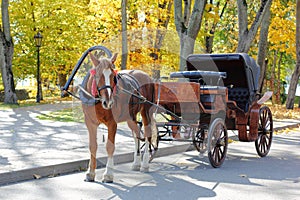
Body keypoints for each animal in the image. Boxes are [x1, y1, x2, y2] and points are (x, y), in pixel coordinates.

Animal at [82, 52, 157, 183]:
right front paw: (90, 172)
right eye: (98, 76)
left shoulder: (112, 123)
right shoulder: (90, 123)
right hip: (130, 118)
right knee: (136, 134)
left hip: (146, 112)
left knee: (147, 135)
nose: (108, 102)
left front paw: (108, 174)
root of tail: (148, 77)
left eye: (113, 77)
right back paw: (136, 163)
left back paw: (145, 164)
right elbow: (93, 146)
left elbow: (110, 147)